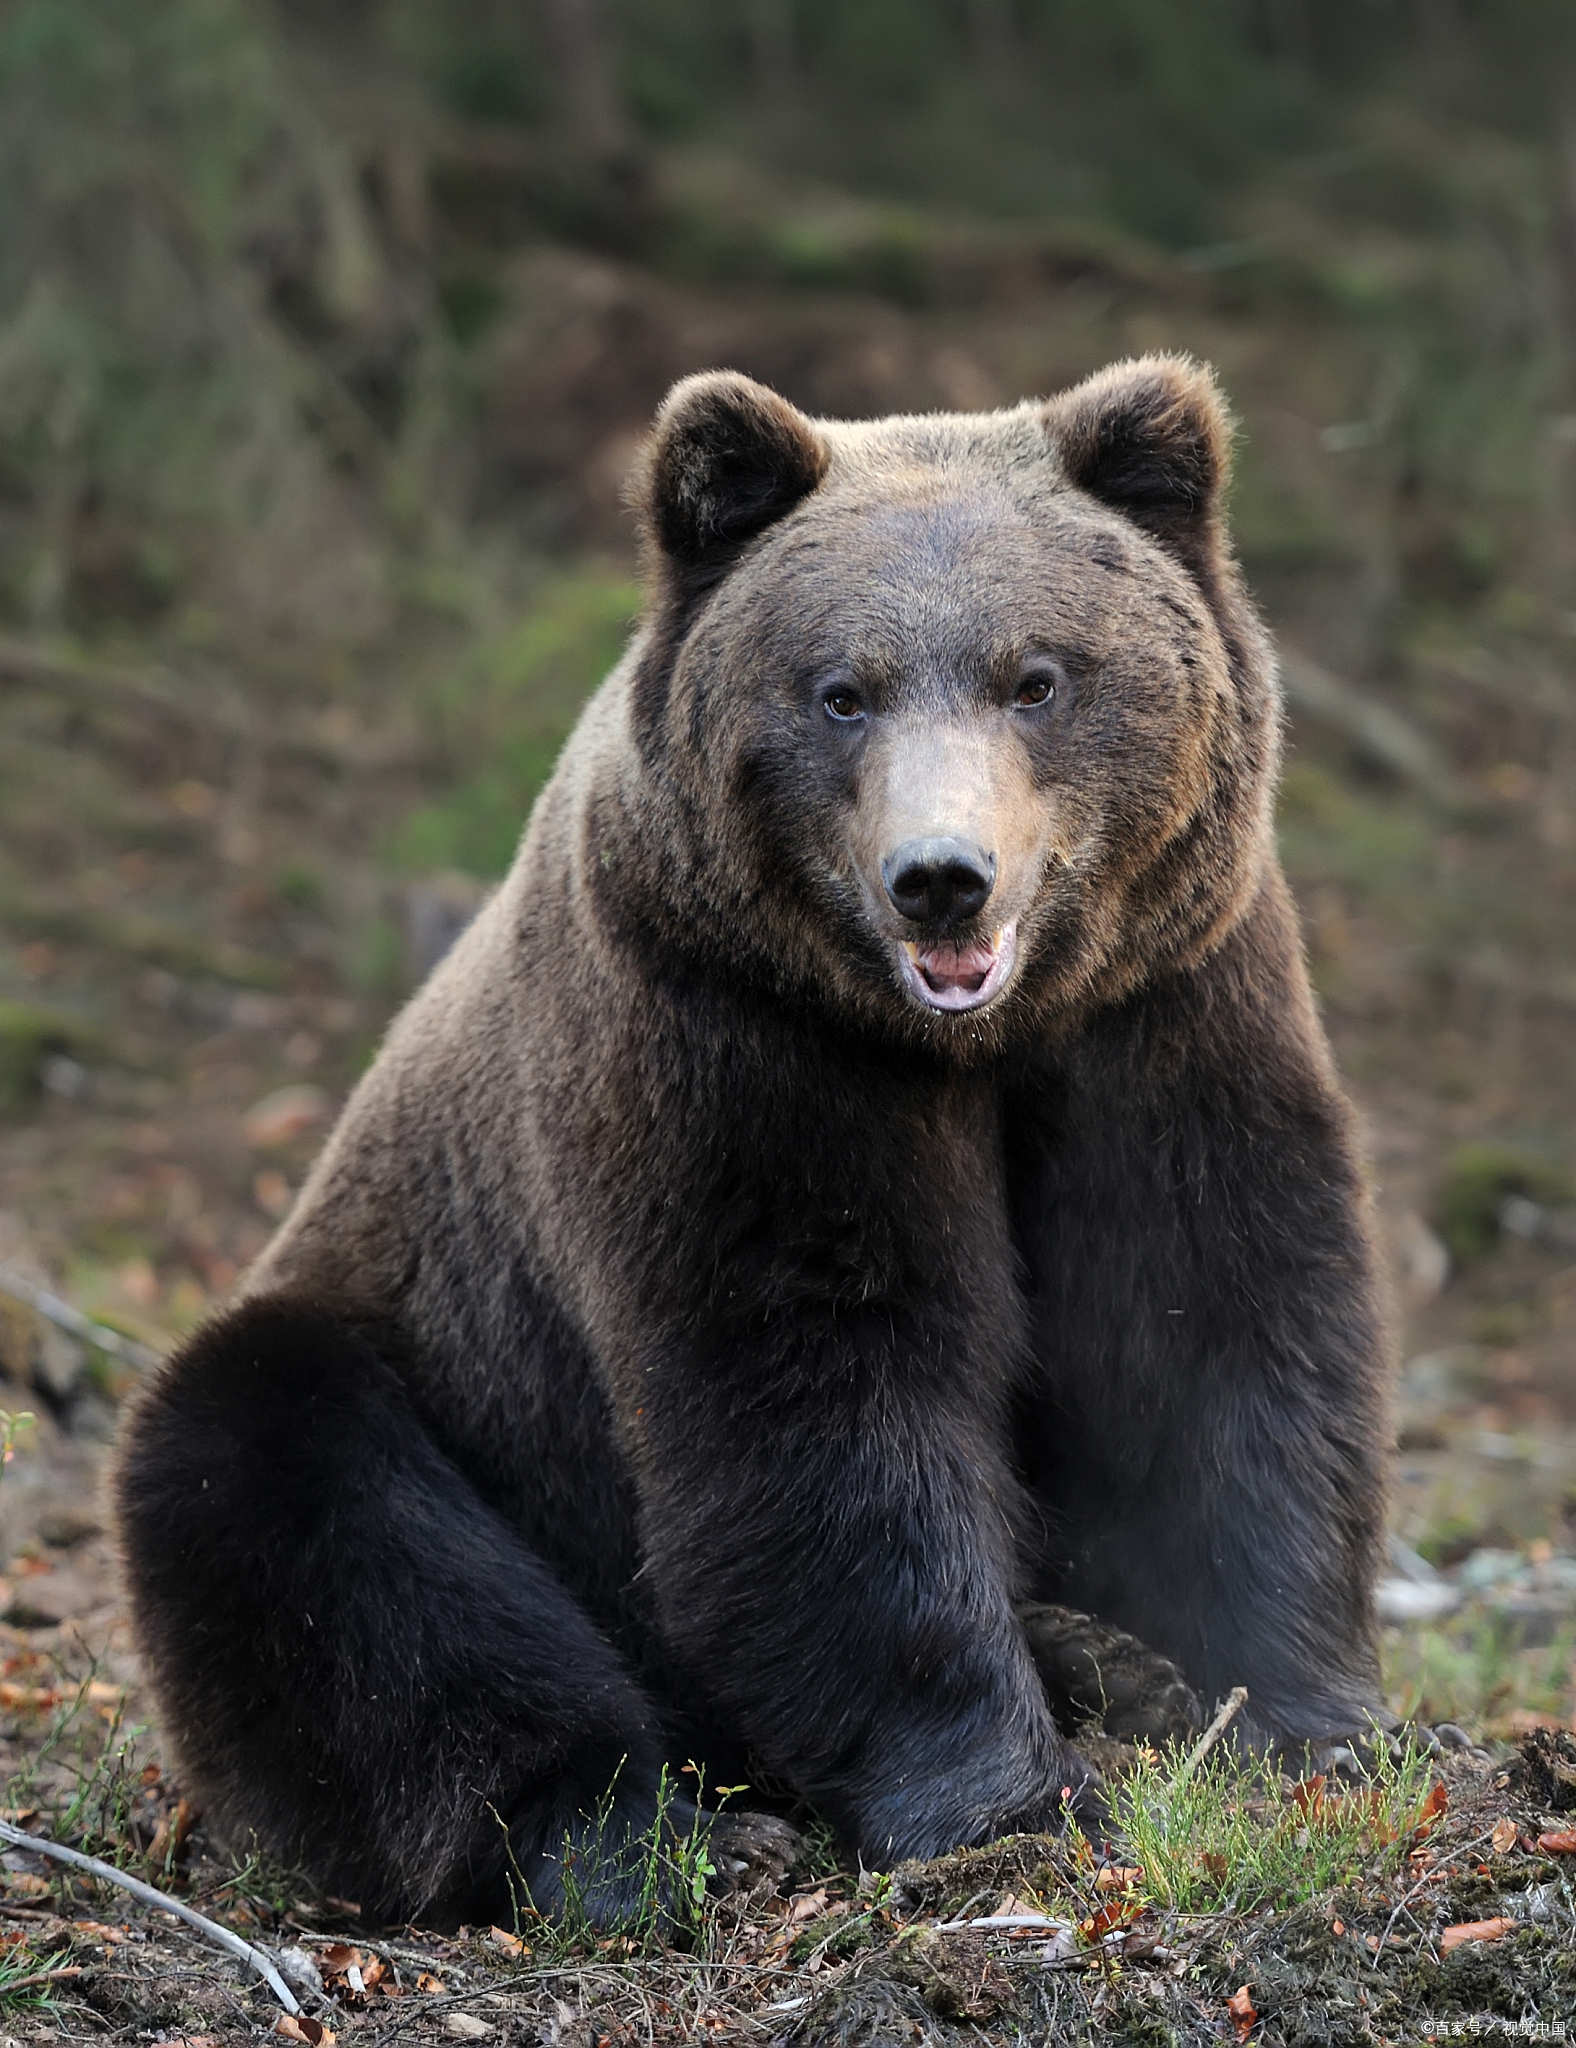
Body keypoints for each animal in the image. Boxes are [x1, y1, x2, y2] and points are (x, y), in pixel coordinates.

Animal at [113, 360, 1391, 1925]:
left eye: (1038, 677)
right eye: (841, 692)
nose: (941, 879)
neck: (972, 1045)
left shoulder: (1165, 1015)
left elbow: (1218, 1329)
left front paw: (1302, 1720)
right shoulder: (735, 1044)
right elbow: (815, 1400)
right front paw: (1007, 1798)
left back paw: (1106, 1662)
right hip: (416, 1357)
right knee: (317, 1523)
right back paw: (658, 1834)